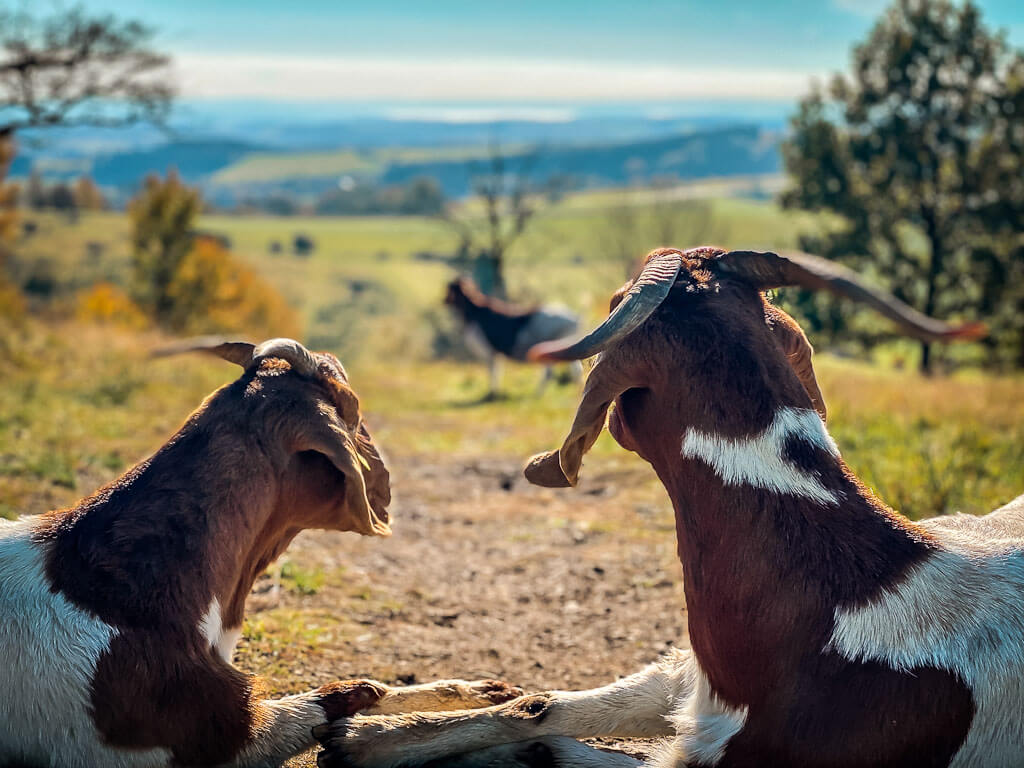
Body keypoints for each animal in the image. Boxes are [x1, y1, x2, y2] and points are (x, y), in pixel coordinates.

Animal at [0, 338, 520, 768]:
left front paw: (486, 689)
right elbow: (348, 695)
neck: (114, 589)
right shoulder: (199, 733)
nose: (387, 492)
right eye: (353, 407)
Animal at [445, 276, 582, 397]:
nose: (443, 300)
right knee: (570, 370)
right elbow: (497, 370)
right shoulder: (495, 353)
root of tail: (575, 317)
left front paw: (492, 393)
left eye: (449, 290)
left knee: (555, 373)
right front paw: (494, 392)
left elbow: (492, 371)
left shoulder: (488, 351)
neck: (474, 313)